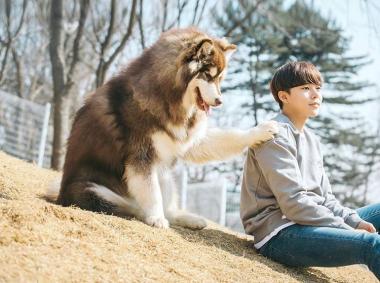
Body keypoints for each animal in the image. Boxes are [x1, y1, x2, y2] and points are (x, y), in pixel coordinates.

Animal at [48, 27, 280, 231]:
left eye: (220, 79)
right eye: (208, 75)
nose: (220, 101)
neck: (169, 97)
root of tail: (60, 194)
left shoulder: (188, 141)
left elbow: (229, 137)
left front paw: (260, 131)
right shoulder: (140, 157)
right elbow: (152, 193)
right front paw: (156, 217)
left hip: (165, 175)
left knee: (167, 205)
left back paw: (189, 218)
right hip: (90, 190)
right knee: (129, 206)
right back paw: (152, 215)